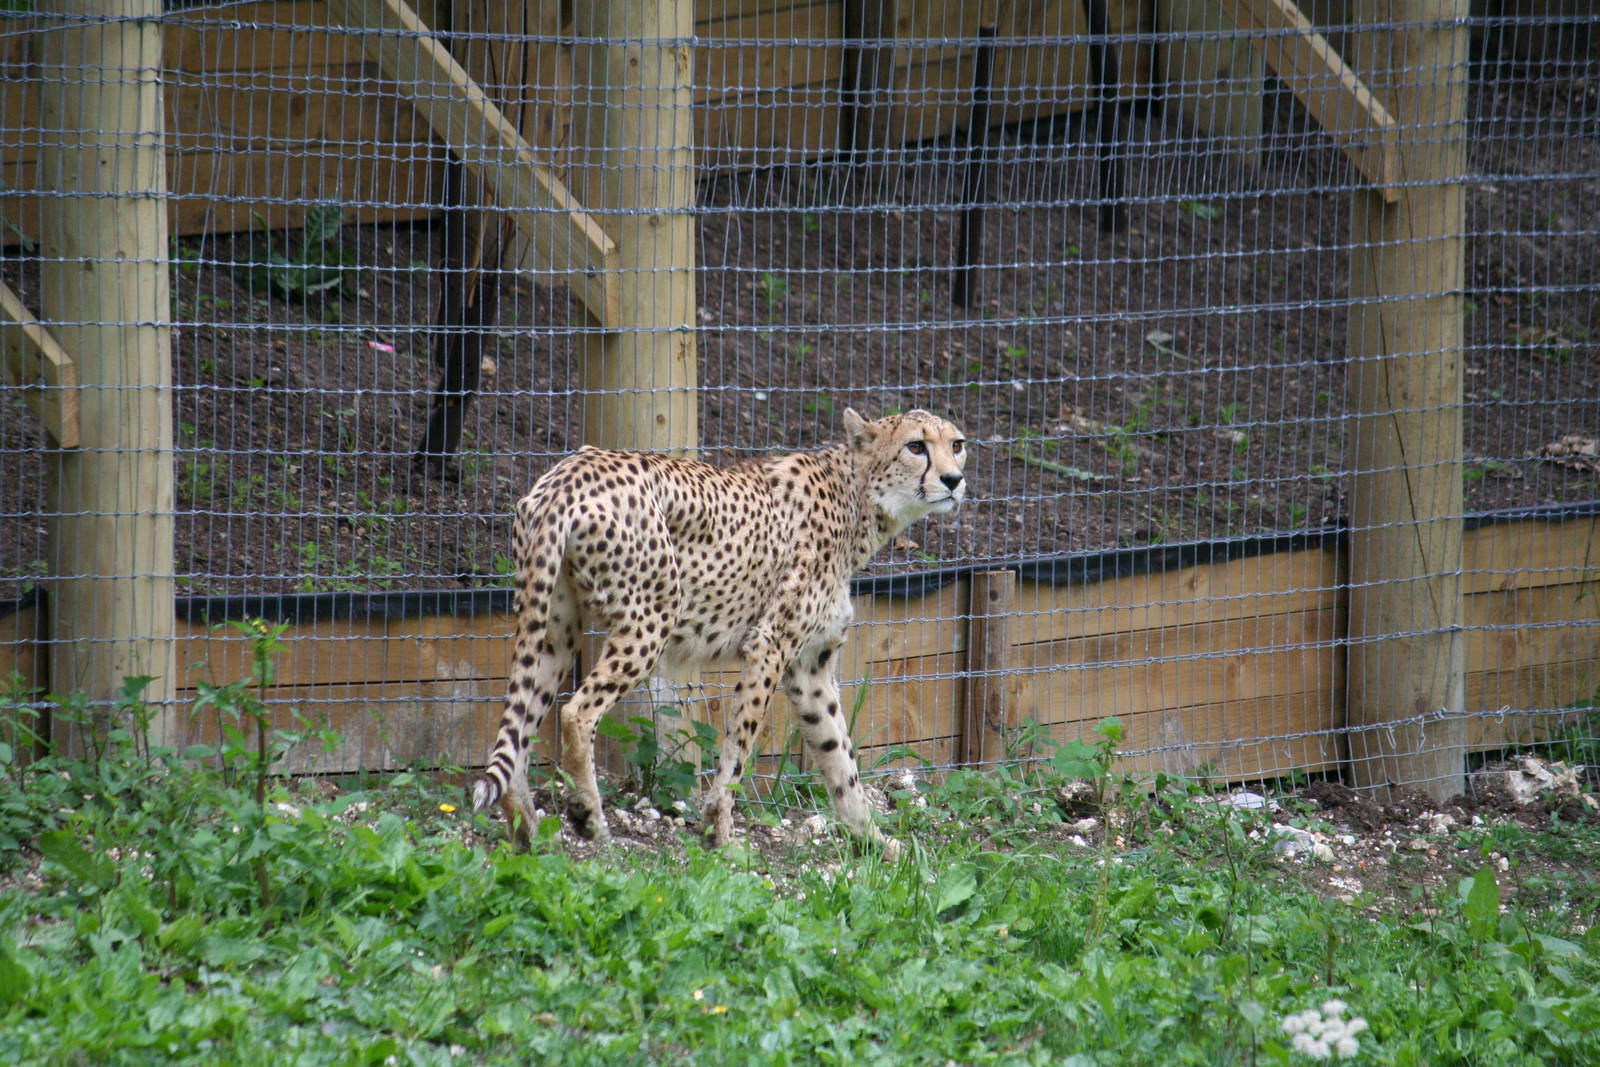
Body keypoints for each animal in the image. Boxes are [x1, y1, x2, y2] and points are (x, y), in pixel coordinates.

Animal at [468, 407, 968, 857]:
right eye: (916, 446)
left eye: (957, 444)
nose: (953, 480)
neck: (857, 496)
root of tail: (570, 473)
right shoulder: (770, 645)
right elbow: (739, 747)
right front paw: (721, 838)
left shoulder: (811, 669)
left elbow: (839, 756)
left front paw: (879, 844)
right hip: (650, 619)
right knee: (576, 713)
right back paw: (588, 818)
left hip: (555, 627)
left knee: (520, 723)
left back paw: (526, 834)